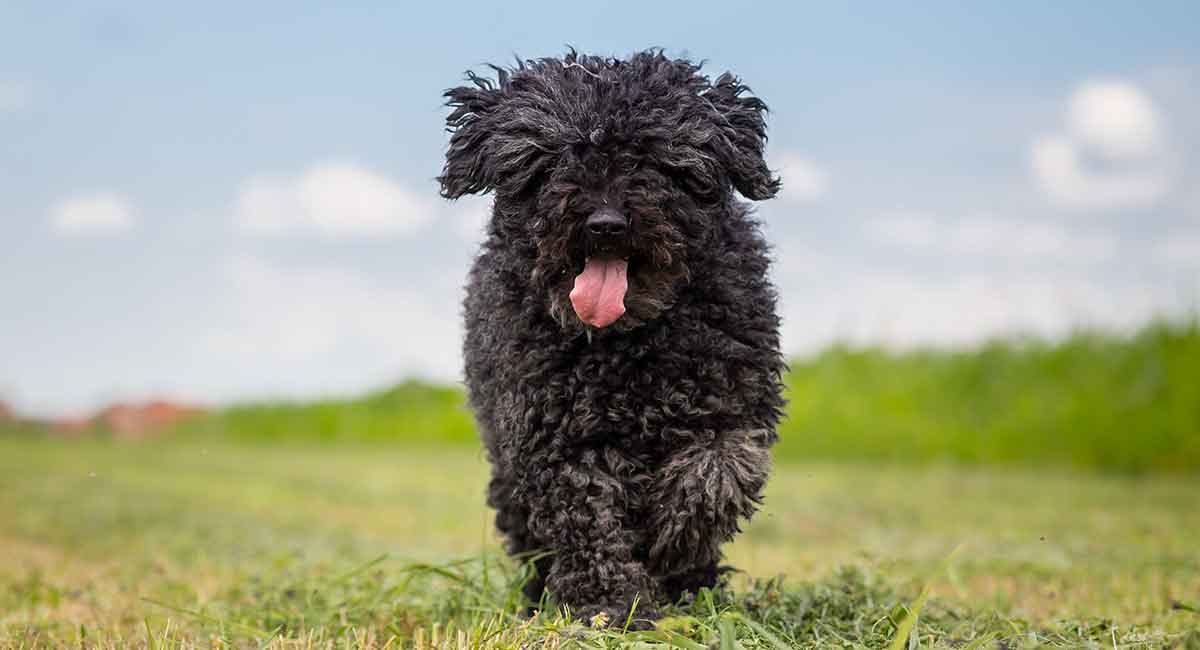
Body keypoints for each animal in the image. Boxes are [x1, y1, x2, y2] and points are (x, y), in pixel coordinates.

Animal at [441, 49, 787, 623]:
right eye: (555, 159)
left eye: (650, 157)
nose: (604, 223)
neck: (628, 345)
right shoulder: (555, 434)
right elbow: (587, 520)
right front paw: (610, 607)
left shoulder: (735, 407)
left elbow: (717, 472)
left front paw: (674, 541)